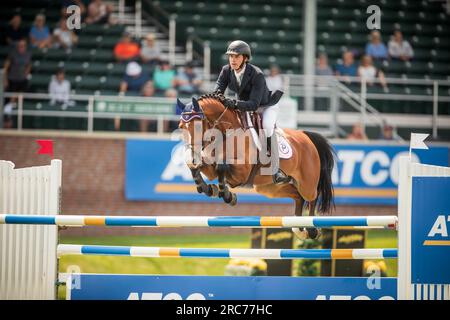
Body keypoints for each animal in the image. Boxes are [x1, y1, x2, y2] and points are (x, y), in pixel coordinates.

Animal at [176, 92, 334, 238]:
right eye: (180, 126)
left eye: (198, 126)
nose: (193, 156)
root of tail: (306, 136)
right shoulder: (211, 168)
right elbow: (198, 168)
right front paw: (210, 189)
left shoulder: (242, 172)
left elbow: (222, 167)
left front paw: (227, 195)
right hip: (270, 188)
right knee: (297, 196)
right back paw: (299, 228)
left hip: (307, 183)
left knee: (312, 197)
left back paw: (312, 230)